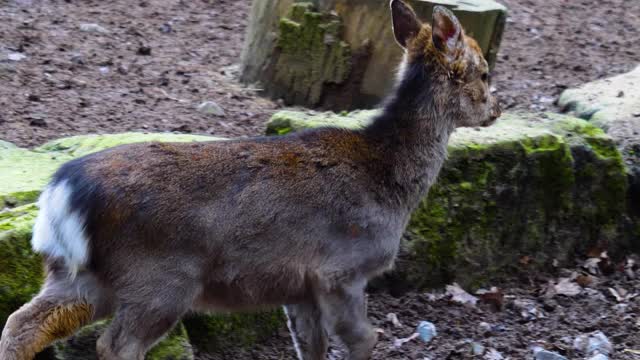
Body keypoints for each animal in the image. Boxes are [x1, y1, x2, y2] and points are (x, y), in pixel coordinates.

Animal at [0, 1, 500, 358]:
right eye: (485, 72)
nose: (497, 108)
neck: (390, 183)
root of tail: (61, 191)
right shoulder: (341, 268)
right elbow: (364, 340)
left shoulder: (300, 285)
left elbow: (311, 347)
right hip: (160, 277)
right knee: (115, 345)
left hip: (77, 272)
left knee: (21, 325)